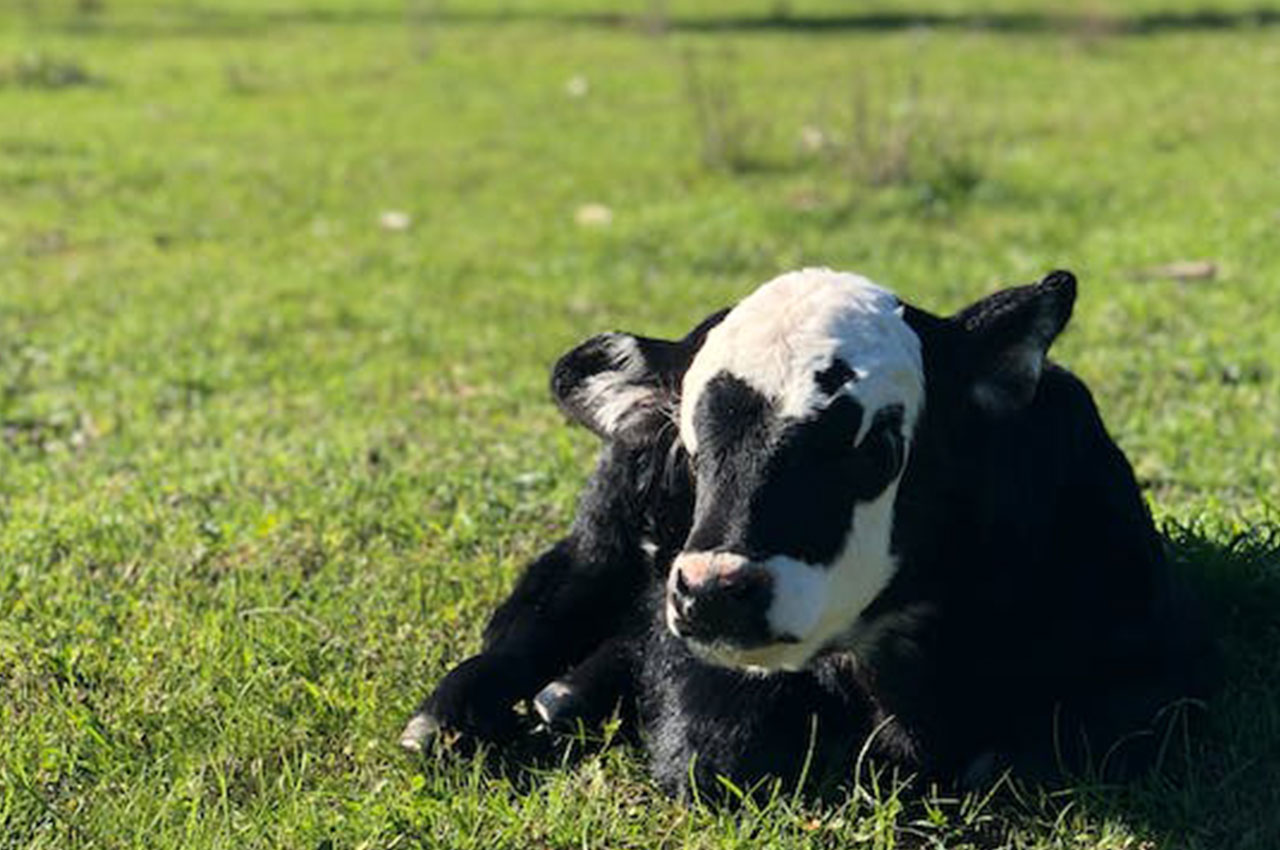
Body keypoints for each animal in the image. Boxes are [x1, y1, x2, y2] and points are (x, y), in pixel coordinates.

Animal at [404, 267, 1213, 798]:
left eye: (877, 445)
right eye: (690, 448)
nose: (715, 592)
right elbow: (711, 755)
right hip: (600, 543)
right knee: (532, 618)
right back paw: (457, 718)